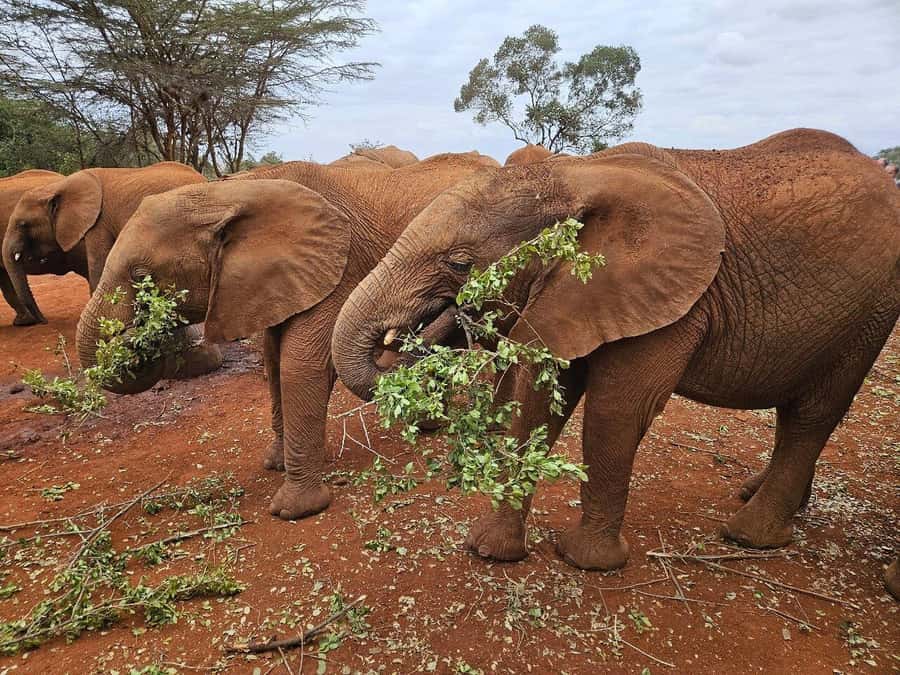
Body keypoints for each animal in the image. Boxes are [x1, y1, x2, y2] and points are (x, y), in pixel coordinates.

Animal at [75, 152, 498, 520]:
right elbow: (273, 360)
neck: (229, 193)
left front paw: (294, 510)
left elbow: (300, 365)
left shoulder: (335, 267)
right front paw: (274, 463)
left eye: (141, 277)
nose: (137, 337)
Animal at [330, 128, 899, 596]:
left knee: (813, 413)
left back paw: (748, 536)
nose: (449, 315)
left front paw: (586, 561)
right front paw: (491, 550)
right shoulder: (573, 293)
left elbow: (615, 411)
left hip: (870, 311)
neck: (577, 175)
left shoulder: (672, 300)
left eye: (460, 263)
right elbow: (538, 403)